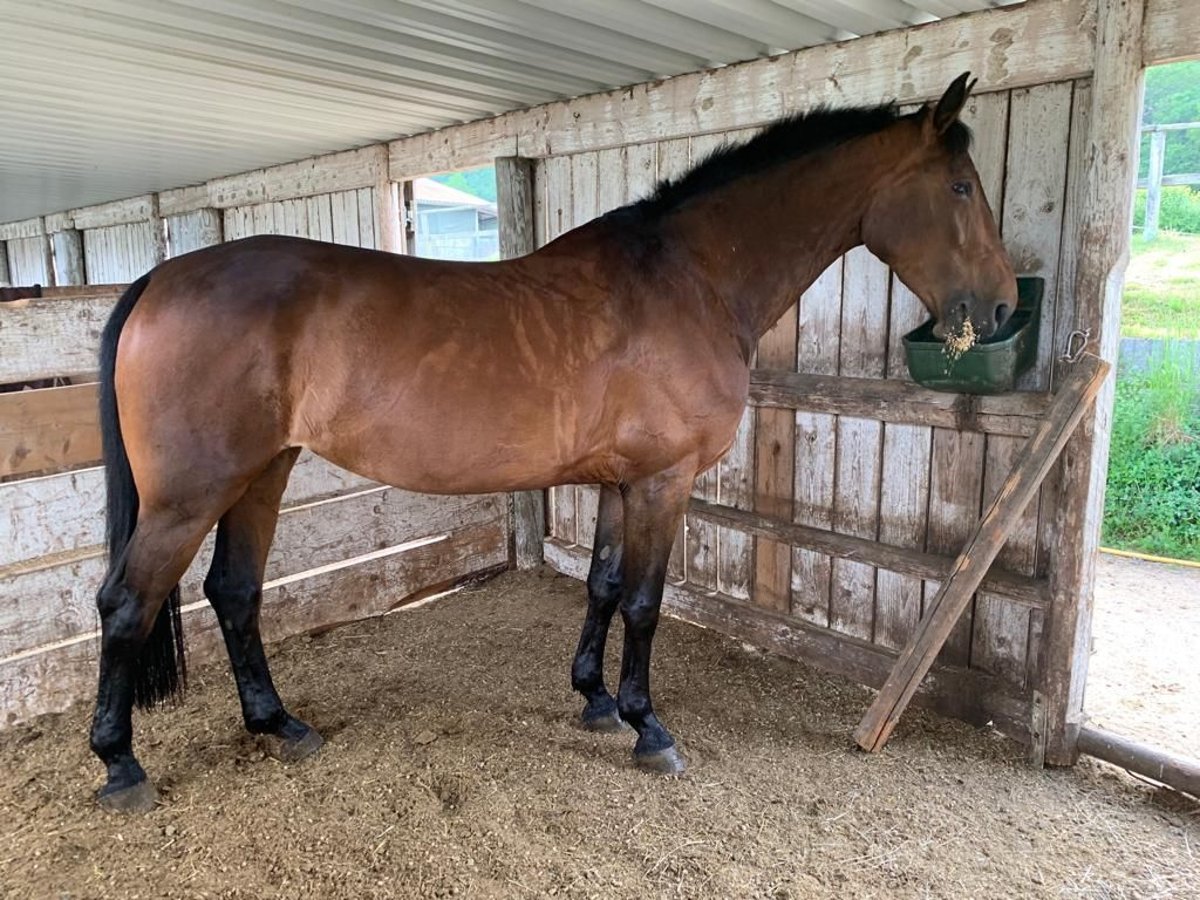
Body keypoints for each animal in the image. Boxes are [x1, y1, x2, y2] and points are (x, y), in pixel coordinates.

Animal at [91, 74, 1012, 816]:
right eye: (961, 186)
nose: (1002, 305)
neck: (691, 279)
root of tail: (159, 278)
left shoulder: (619, 482)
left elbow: (602, 586)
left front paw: (595, 700)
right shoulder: (664, 482)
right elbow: (644, 603)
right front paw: (649, 728)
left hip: (261, 475)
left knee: (235, 592)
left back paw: (278, 724)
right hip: (188, 496)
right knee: (126, 605)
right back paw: (120, 766)